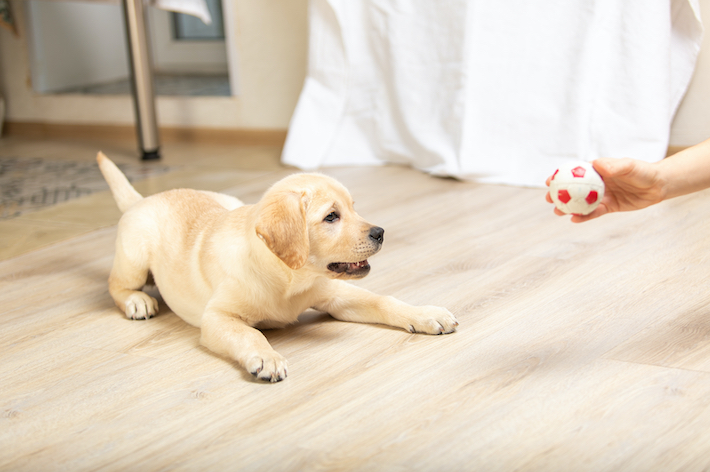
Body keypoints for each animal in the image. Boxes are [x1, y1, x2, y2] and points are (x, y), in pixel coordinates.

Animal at [97, 153, 458, 382]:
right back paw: (137, 301)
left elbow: (383, 300)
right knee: (116, 284)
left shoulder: (335, 294)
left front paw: (425, 314)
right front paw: (267, 357)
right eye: (331, 216)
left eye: (354, 208)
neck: (289, 279)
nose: (380, 233)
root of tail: (144, 199)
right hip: (135, 257)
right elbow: (250, 333)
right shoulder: (217, 318)